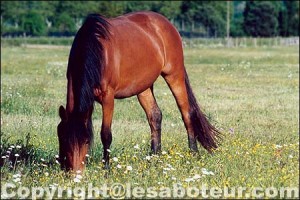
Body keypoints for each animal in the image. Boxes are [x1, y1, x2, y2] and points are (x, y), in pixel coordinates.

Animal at [57, 10, 220, 172]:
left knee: (186, 113)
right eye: (62, 138)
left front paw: (107, 169)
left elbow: (106, 134)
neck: (97, 51)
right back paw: (154, 159)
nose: (74, 173)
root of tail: (167, 23)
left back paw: (194, 154)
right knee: (155, 116)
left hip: (174, 75)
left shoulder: (108, 97)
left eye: (85, 141)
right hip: (144, 87)